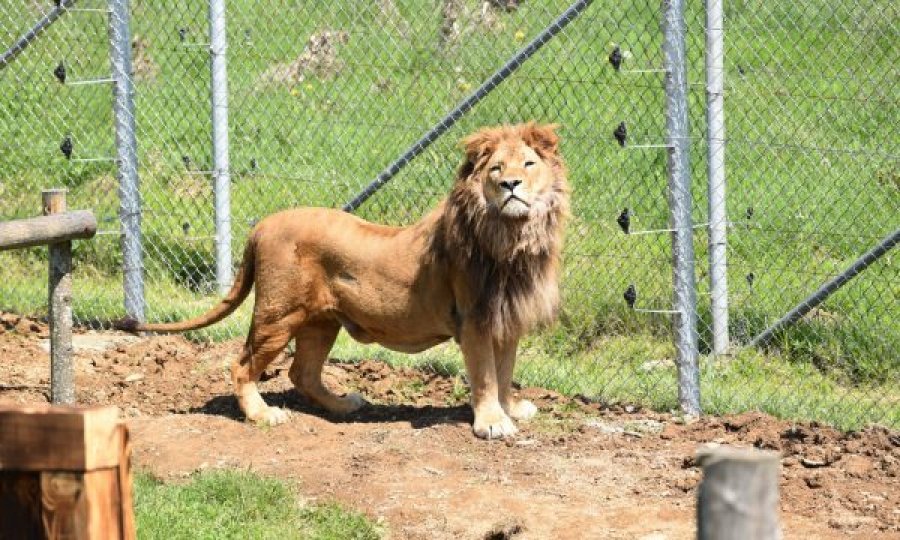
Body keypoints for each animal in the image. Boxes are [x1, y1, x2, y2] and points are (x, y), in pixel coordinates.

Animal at [125, 122, 568, 438]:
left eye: (528, 165)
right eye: (497, 169)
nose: (511, 185)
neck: (514, 236)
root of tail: (262, 225)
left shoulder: (507, 320)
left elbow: (505, 372)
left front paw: (511, 409)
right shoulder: (474, 320)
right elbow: (486, 375)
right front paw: (492, 422)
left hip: (321, 322)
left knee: (302, 373)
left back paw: (343, 406)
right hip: (278, 315)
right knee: (242, 365)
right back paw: (263, 414)